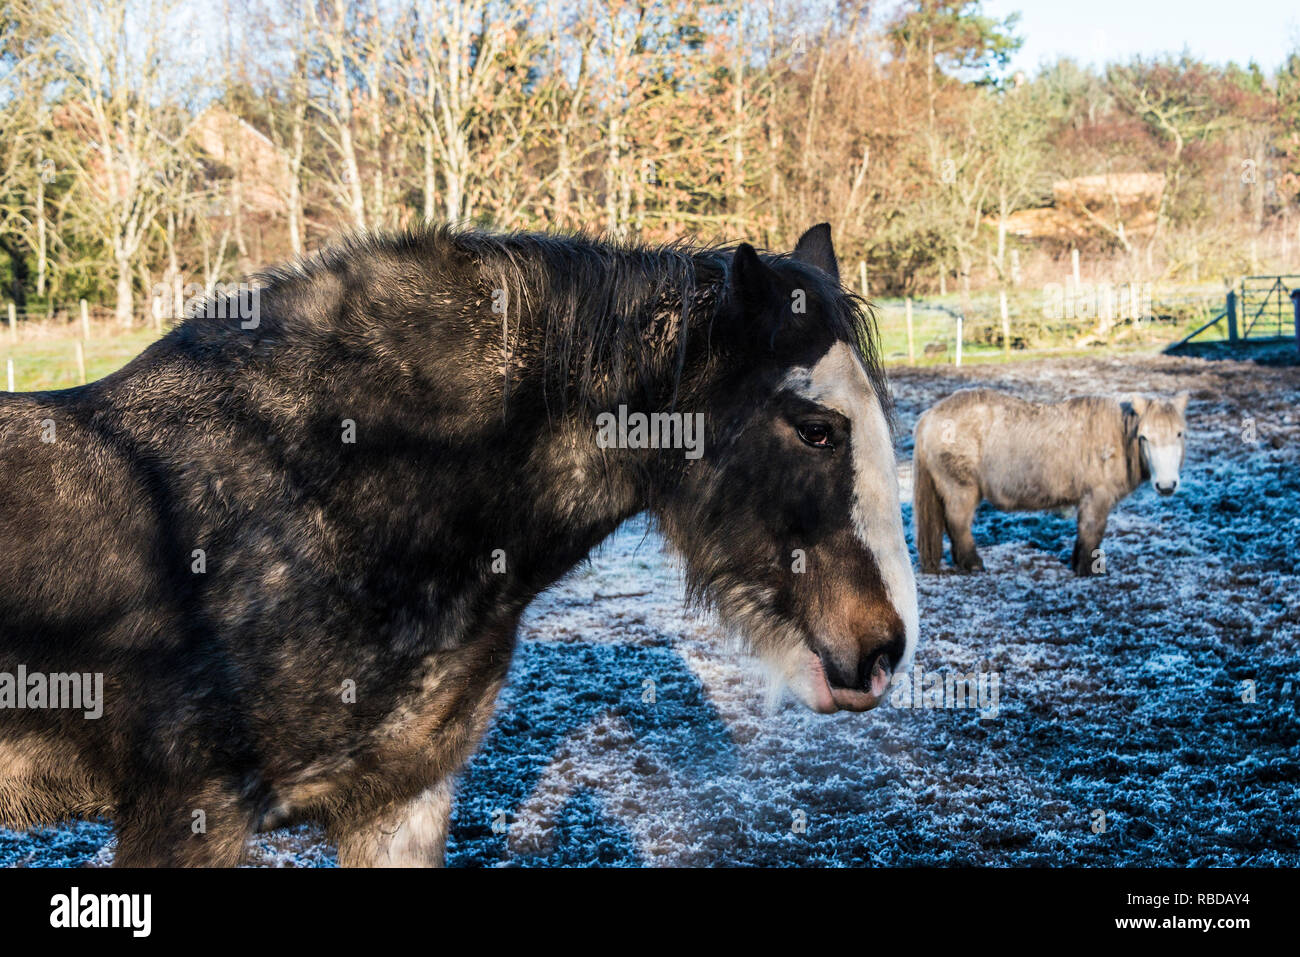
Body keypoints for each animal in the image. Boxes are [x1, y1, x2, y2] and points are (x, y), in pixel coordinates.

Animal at [915, 387, 1190, 574]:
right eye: (1145, 437)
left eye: (1179, 434)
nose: (1167, 485)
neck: (1116, 440)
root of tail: (930, 416)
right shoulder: (1096, 497)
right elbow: (1091, 532)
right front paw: (1087, 570)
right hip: (961, 489)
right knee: (958, 523)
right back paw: (972, 564)